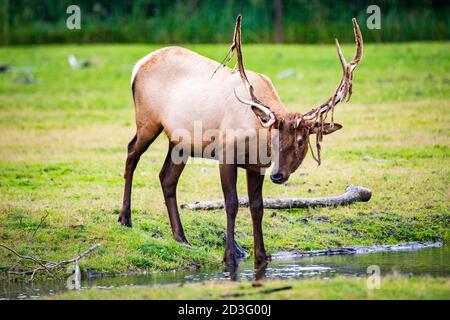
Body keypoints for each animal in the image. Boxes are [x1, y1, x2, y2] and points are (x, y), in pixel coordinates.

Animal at [118, 16, 362, 268]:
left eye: (301, 141)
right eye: (274, 138)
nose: (278, 175)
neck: (255, 138)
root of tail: (137, 66)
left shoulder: (257, 167)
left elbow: (257, 207)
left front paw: (261, 256)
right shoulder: (226, 154)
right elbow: (232, 203)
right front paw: (229, 256)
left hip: (180, 142)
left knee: (166, 178)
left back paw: (181, 238)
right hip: (147, 120)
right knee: (131, 152)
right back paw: (125, 219)